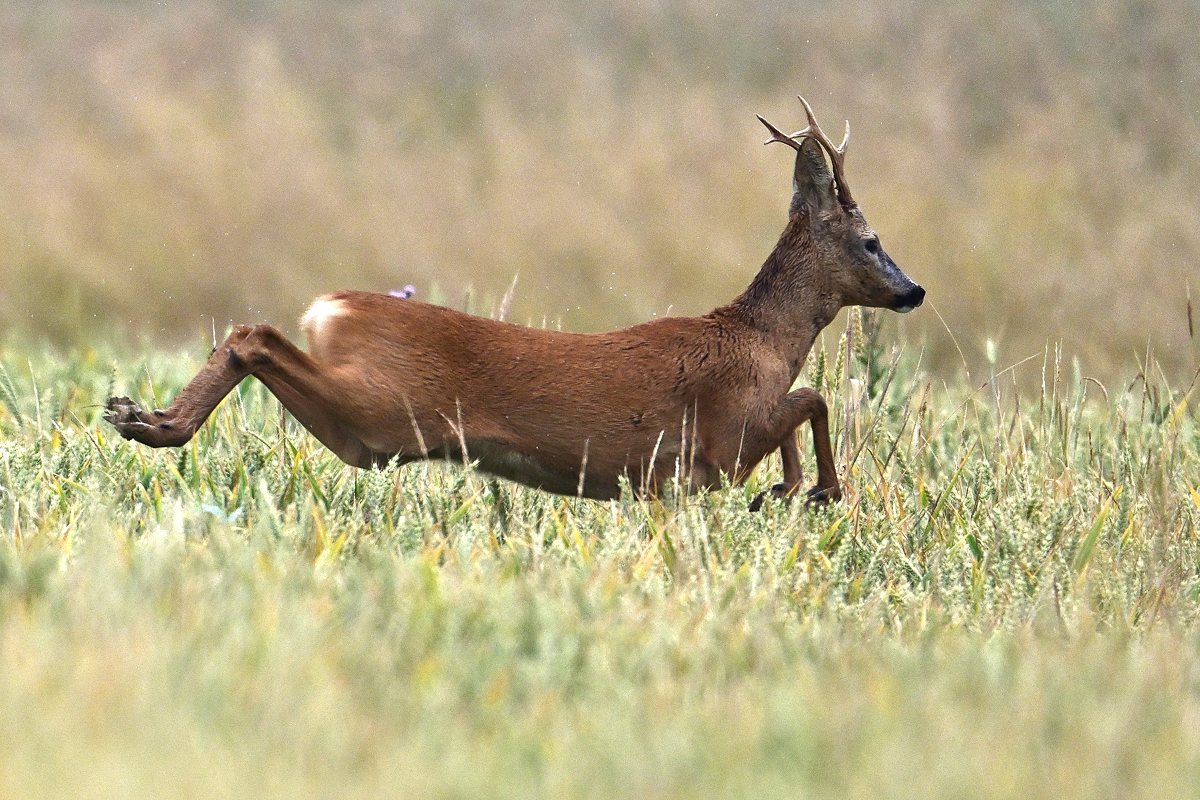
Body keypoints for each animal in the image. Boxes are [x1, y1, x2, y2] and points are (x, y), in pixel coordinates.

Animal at [108, 97, 921, 510]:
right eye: (872, 239)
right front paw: (811, 489)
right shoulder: (719, 444)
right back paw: (151, 422)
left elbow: (806, 403)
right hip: (384, 411)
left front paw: (793, 488)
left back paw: (141, 417)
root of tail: (331, 306)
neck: (760, 341)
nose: (914, 290)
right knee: (256, 334)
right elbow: (811, 398)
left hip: (371, 423)